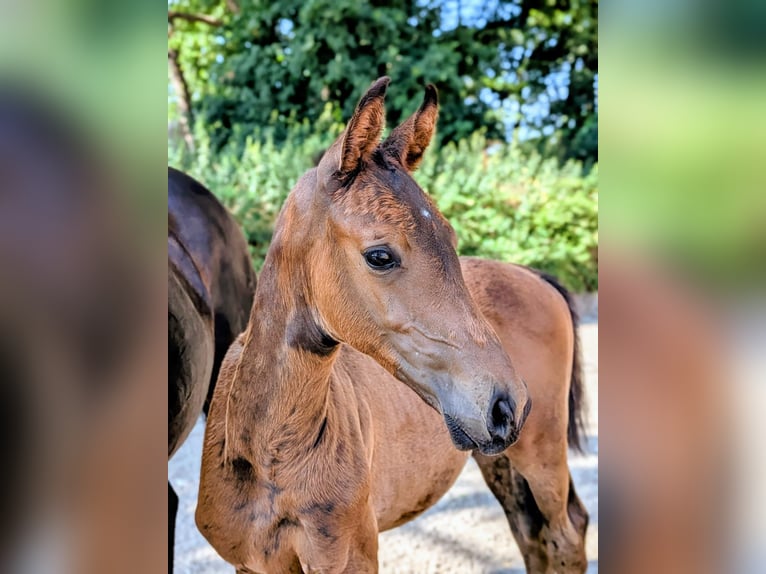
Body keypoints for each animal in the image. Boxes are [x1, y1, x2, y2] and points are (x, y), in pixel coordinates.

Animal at [196, 77, 588, 573]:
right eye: (380, 255)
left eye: (451, 239)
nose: (508, 405)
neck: (268, 458)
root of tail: (536, 276)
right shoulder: (251, 563)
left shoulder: (351, 559)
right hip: (502, 459)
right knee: (533, 536)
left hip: (541, 454)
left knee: (566, 534)